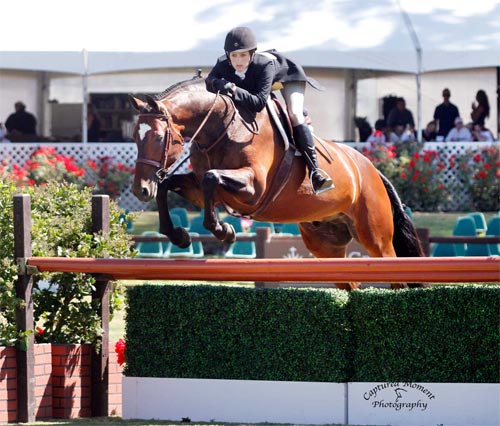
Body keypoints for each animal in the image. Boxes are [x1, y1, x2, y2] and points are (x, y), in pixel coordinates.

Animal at [130, 76, 426, 290]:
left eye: (158, 138)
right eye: (134, 136)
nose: (140, 190)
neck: (222, 127)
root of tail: (372, 170)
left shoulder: (253, 188)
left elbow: (211, 178)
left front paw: (224, 230)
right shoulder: (201, 188)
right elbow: (172, 185)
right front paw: (178, 235)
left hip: (376, 239)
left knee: (394, 273)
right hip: (326, 246)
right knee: (350, 284)